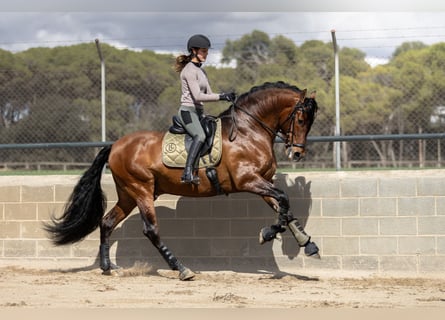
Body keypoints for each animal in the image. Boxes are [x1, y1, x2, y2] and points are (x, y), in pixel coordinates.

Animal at [46, 80, 320, 280]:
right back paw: (182, 269)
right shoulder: (248, 180)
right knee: (151, 230)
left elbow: (284, 207)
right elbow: (283, 199)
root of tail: (115, 145)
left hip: (128, 194)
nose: (297, 153)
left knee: (106, 222)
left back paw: (107, 267)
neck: (248, 131)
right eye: (301, 119)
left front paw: (307, 243)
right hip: (141, 190)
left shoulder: (263, 182)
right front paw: (268, 233)